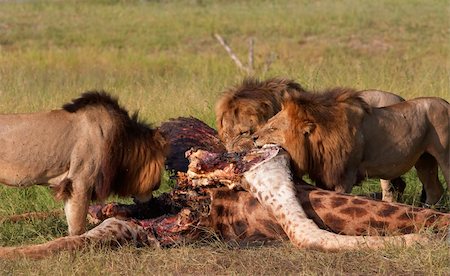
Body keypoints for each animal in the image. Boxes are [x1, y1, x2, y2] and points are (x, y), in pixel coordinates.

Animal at [253, 89, 450, 205]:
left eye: (272, 128)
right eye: (269, 123)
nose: (254, 137)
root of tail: (446, 103)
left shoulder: (345, 175)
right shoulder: (324, 175)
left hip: (444, 156)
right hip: (425, 160)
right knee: (434, 190)